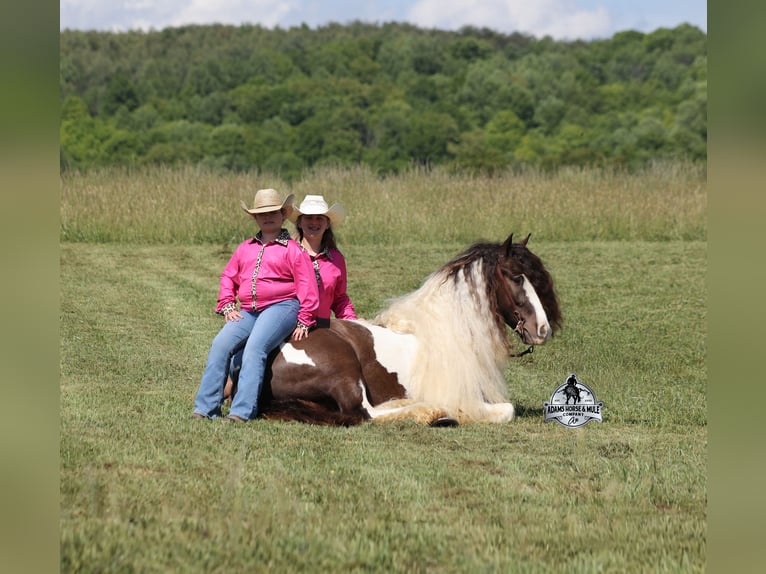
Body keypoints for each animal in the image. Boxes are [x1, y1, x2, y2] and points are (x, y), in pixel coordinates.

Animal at [226, 233, 562, 426]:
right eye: (515, 276)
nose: (542, 329)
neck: (448, 333)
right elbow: (505, 410)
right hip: (343, 369)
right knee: (364, 413)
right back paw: (431, 412)